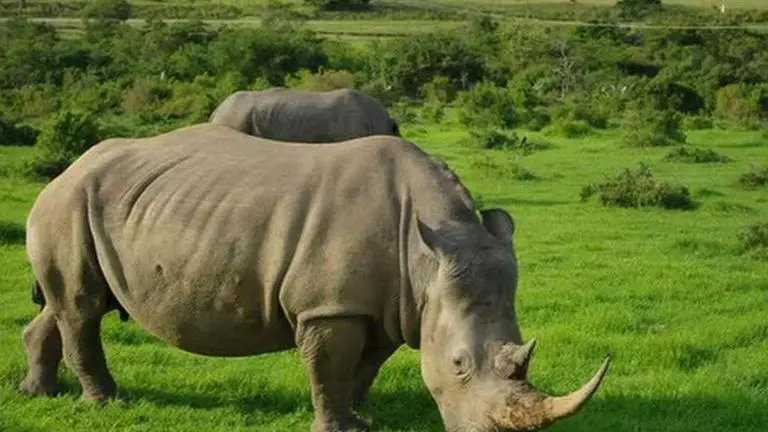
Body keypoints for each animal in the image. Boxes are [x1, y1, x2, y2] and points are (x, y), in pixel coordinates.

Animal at [19, 123, 609, 432]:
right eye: (459, 366)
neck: (425, 257)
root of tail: (66, 168)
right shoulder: (331, 305)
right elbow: (329, 368)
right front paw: (337, 427)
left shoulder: (390, 305)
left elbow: (363, 368)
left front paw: (362, 418)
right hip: (69, 201)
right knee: (82, 307)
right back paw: (106, 403)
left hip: (91, 203)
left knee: (68, 303)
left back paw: (38, 394)